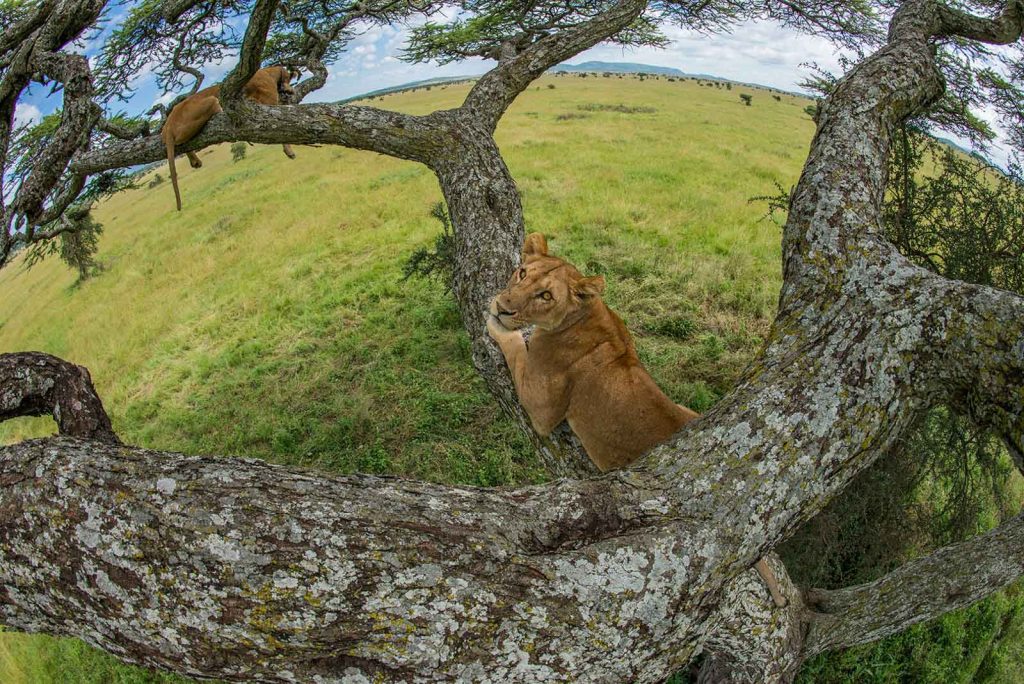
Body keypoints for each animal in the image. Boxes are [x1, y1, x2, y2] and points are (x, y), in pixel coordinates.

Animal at [159, 67, 296, 211]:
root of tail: (168, 124)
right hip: (210, 101)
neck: (269, 72)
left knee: (184, 144)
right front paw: (289, 151)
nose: (290, 91)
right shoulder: (270, 103)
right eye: (289, 78)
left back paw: (195, 161)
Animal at [483, 232, 786, 606]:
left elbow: (512, 344)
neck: (588, 314)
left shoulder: (541, 406)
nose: (502, 306)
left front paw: (497, 325)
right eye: (522, 273)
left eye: (546, 296)